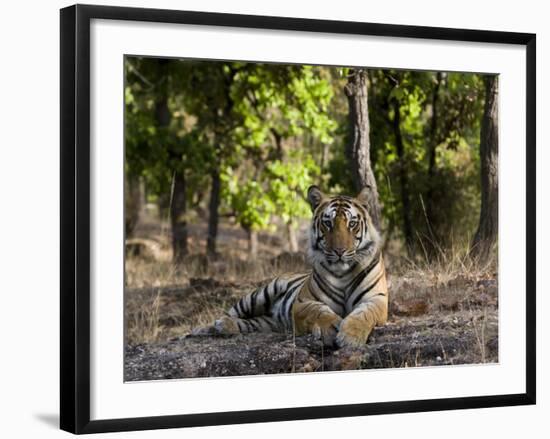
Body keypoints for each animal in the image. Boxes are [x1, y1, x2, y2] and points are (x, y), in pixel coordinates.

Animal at [196, 185, 390, 348]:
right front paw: (330, 328)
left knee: (250, 322)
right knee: (231, 313)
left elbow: (363, 314)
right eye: (328, 223)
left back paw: (223, 327)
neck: (343, 273)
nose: (339, 251)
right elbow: (319, 311)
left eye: (352, 224)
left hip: (269, 322)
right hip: (259, 294)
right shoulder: (303, 302)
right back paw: (208, 327)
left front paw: (351, 337)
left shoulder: (376, 299)